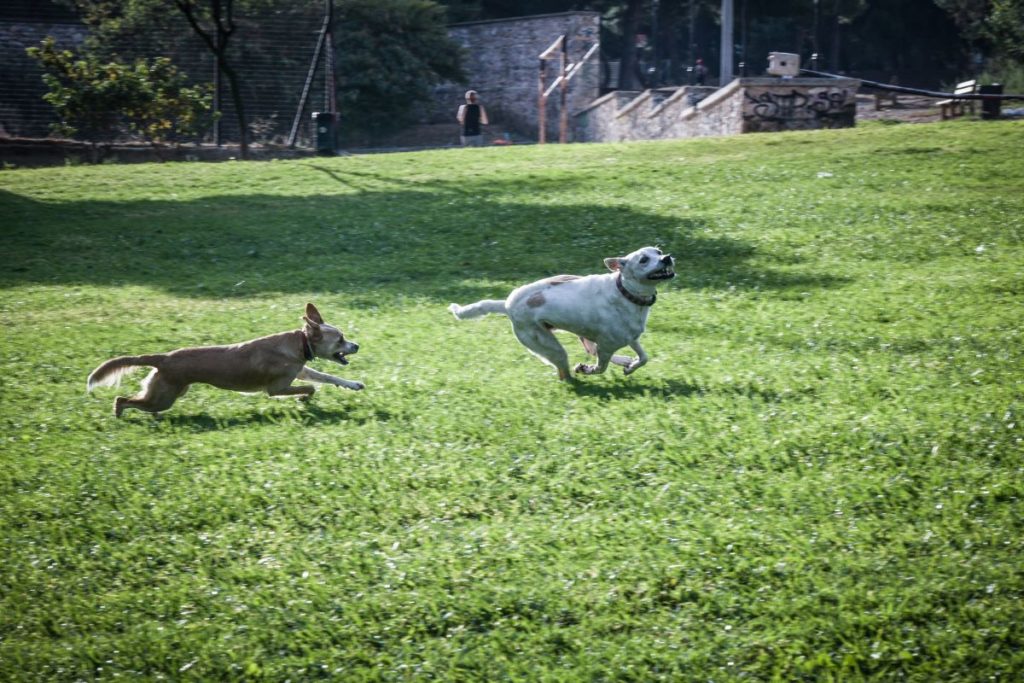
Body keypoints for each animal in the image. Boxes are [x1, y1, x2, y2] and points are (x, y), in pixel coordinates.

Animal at [87, 305, 364, 417]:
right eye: (340, 339)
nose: (356, 345)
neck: (300, 343)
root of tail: (164, 358)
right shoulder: (276, 388)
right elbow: (311, 387)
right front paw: (303, 399)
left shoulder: (300, 371)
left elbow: (328, 377)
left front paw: (353, 384)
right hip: (163, 397)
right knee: (121, 399)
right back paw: (118, 414)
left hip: (168, 393)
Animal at [446, 246, 671, 385]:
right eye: (643, 259)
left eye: (658, 251)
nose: (666, 258)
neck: (625, 292)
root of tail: (507, 305)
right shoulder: (607, 345)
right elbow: (600, 367)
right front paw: (586, 369)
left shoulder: (631, 337)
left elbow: (643, 358)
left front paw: (630, 366)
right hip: (548, 345)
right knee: (565, 371)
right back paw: (576, 380)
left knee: (590, 349)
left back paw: (623, 361)